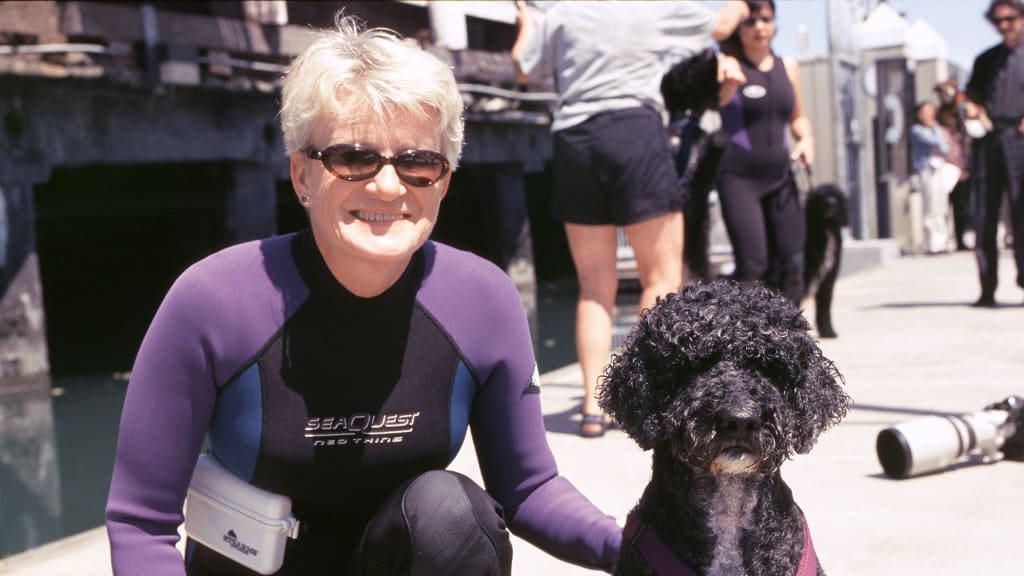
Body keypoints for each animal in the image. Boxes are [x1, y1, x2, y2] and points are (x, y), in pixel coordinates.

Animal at [802, 183, 851, 336]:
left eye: (836, 196)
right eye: (820, 196)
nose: (830, 203)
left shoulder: (828, 280)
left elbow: (824, 306)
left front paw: (828, 331)